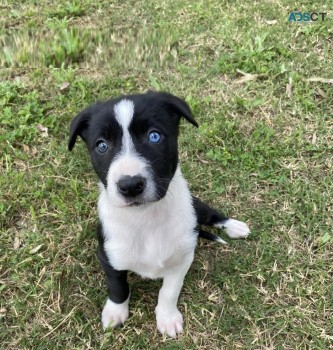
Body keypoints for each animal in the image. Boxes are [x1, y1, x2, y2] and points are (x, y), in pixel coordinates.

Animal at [68, 91, 249, 338]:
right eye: (102, 145)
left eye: (154, 136)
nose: (130, 185)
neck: (145, 217)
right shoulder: (108, 257)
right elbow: (117, 287)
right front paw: (115, 313)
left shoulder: (182, 259)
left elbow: (169, 290)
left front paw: (167, 317)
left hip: (196, 208)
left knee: (211, 215)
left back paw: (235, 226)